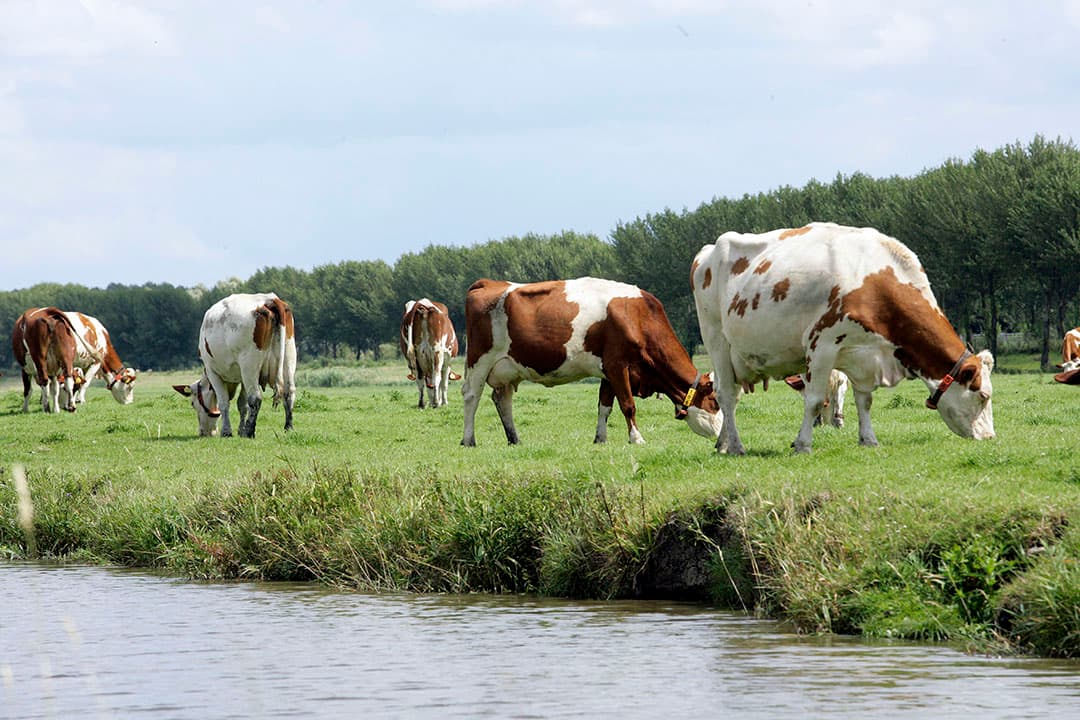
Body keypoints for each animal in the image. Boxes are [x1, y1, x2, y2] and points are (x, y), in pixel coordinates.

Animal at [173, 293, 297, 438]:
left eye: (193, 403)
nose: (204, 432)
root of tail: (269, 299)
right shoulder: (242, 378)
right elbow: (242, 404)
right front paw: (240, 430)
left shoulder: (212, 372)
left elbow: (224, 402)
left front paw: (227, 431)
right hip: (289, 357)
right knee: (289, 393)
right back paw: (288, 427)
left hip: (249, 364)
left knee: (255, 398)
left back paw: (250, 431)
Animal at [460, 277, 723, 446]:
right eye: (715, 402)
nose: (721, 435)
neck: (637, 317)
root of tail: (489, 283)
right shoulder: (618, 365)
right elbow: (628, 405)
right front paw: (636, 438)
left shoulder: (608, 371)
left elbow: (604, 406)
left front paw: (600, 439)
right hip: (479, 361)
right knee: (472, 397)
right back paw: (468, 439)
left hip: (506, 368)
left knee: (502, 400)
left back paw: (514, 439)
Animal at [691, 222, 995, 454]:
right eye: (983, 395)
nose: (990, 438)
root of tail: (708, 250)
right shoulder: (821, 345)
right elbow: (814, 400)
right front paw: (803, 445)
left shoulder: (863, 356)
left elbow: (865, 400)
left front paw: (869, 440)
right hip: (716, 340)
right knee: (726, 395)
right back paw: (737, 446)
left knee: (732, 395)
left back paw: (723, 444)